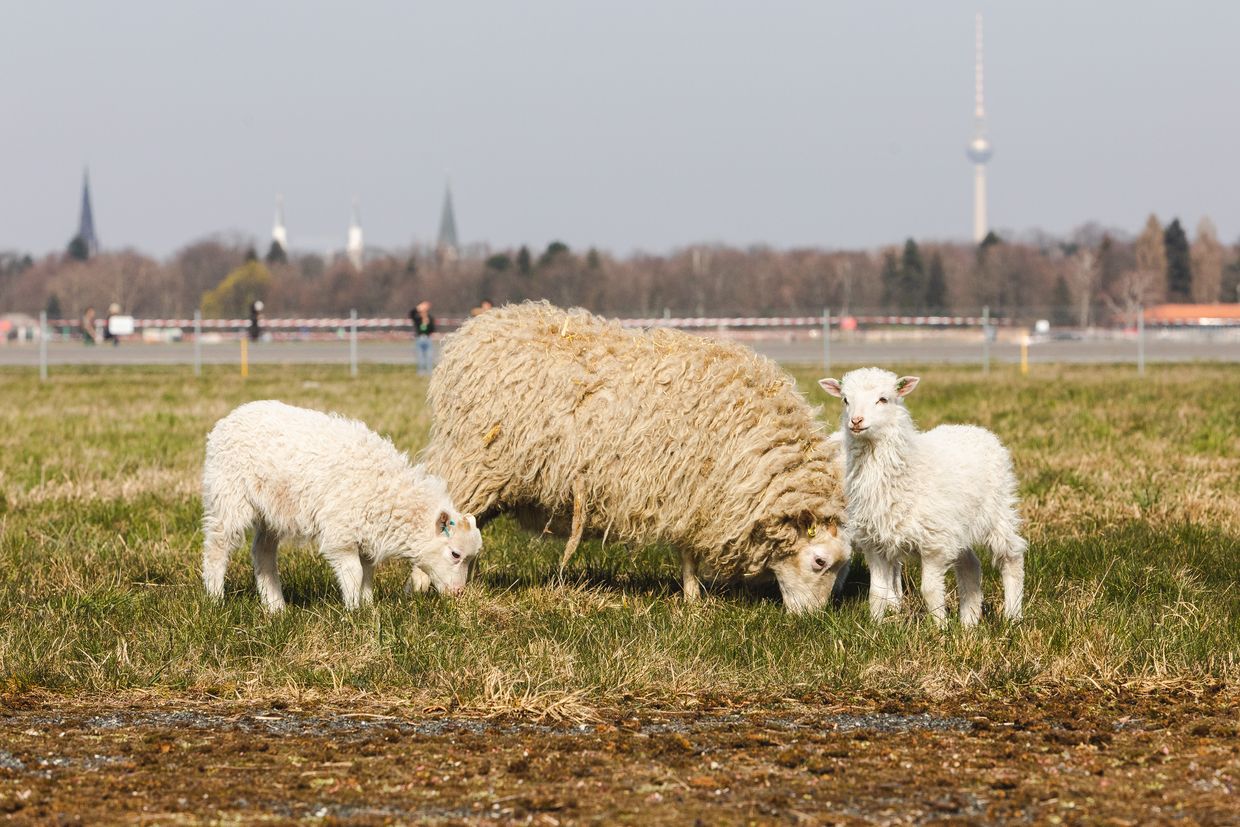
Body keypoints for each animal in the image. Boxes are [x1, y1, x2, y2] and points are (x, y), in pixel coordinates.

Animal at [202, 400, 482, 611]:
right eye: (455, 554)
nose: (458, 593)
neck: (389, 492)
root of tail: (231, 417)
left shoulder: (368, 533)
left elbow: (368, 573)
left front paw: (368, 606)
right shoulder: (341, 533)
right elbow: (354, 572)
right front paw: (353, 611)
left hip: (273, 510)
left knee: (263, 552)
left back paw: (276, 607)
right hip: (229, 495)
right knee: (217, 546)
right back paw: (215, 599)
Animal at [416, 301, 849, 613]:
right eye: (820, 562)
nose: (812, 620)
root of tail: (474, 332)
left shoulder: (695, 496)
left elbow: (687, 552)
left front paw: (692, 596)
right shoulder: (693, 492)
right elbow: (689, 553)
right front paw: (693, 600)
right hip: (473, 463)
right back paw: (422, 588)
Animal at [819, 368, 1025, 626]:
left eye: (883, 399)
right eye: (845, 400)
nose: (856, 421)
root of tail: (976, 429)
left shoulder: (934, 543)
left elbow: (930, 590)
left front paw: (940, 628)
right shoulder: (874, 542)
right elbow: (877, 592)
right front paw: (875, 626)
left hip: (997, 511)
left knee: (1012, 557)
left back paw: (1013, 615)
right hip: (957, 526)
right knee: (971, 566)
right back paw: (968, 622)